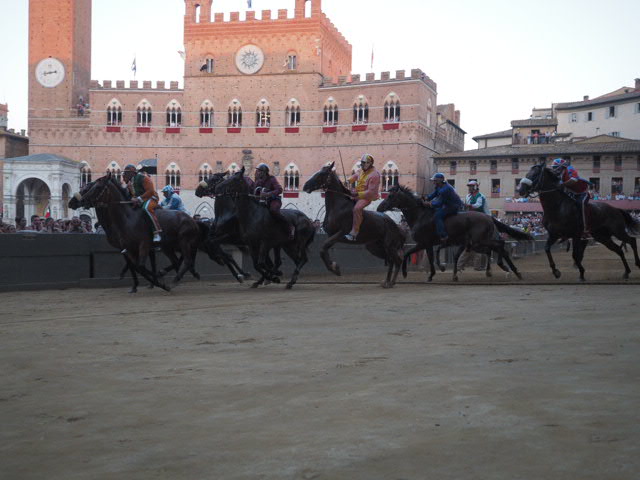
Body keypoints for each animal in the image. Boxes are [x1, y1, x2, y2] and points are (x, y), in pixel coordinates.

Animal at [378, 184, 532, 282]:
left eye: (390, 196)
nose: (379, 207)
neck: (420, 215)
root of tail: (489, 217)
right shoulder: (431, 244)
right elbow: (432, 257)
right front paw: (434, 273)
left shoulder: (423, 243)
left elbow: (408, 254)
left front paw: (406, 273)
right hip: (477, 243)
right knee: (495, 248)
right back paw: (509, 270)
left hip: (479, 241)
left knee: (500, 244)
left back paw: (508, 268)